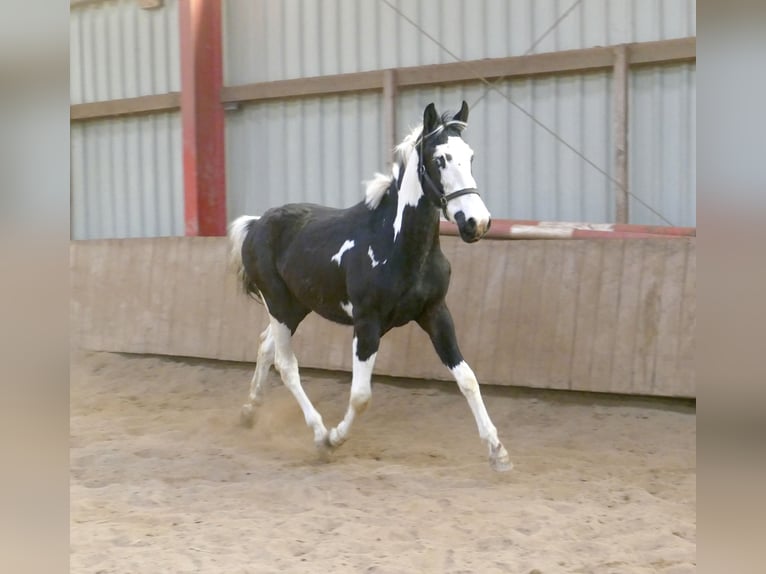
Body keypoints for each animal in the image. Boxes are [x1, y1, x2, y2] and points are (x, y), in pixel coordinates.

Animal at [228, 101, 511, 471]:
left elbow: (468, 379)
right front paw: (333, 439)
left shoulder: (435, 313)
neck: (396, 243)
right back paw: (317, 433)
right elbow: (361, 396)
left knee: (266, 346)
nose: (477, 223)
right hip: (279, 305)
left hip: (295, 308)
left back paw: (249, 412)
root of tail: (255, 224)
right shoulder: (367, 323)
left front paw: (497, 451)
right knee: (287, 365)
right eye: (440, 159)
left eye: (471, 156)